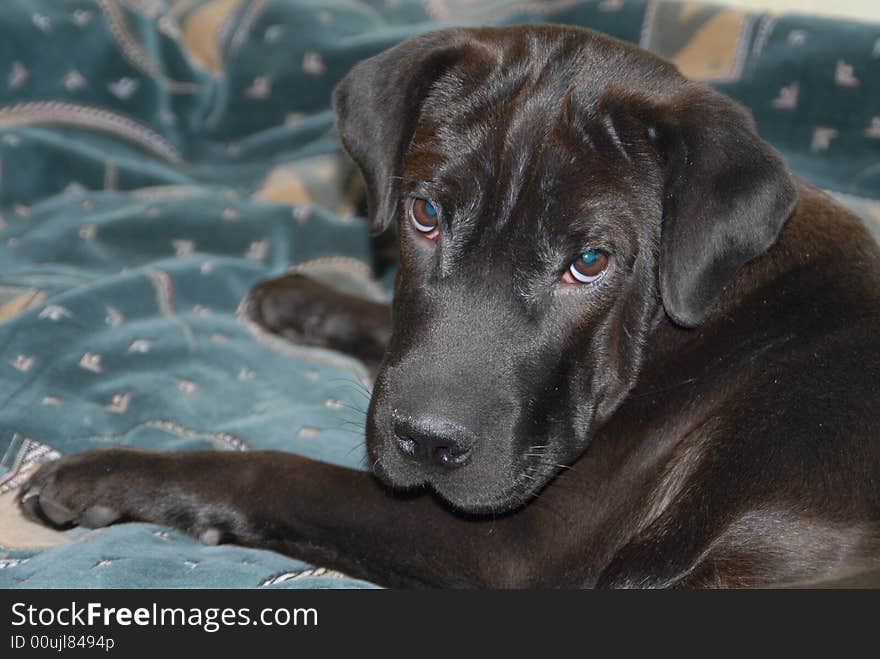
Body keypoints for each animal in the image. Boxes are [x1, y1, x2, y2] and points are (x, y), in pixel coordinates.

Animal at [18, 28, 880, 592]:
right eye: (426, 213)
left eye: (590, 263)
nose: (428, 442)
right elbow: (390, 341)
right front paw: (305, 299)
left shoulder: (510, 551)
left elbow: (283, 471)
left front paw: (105, 473)